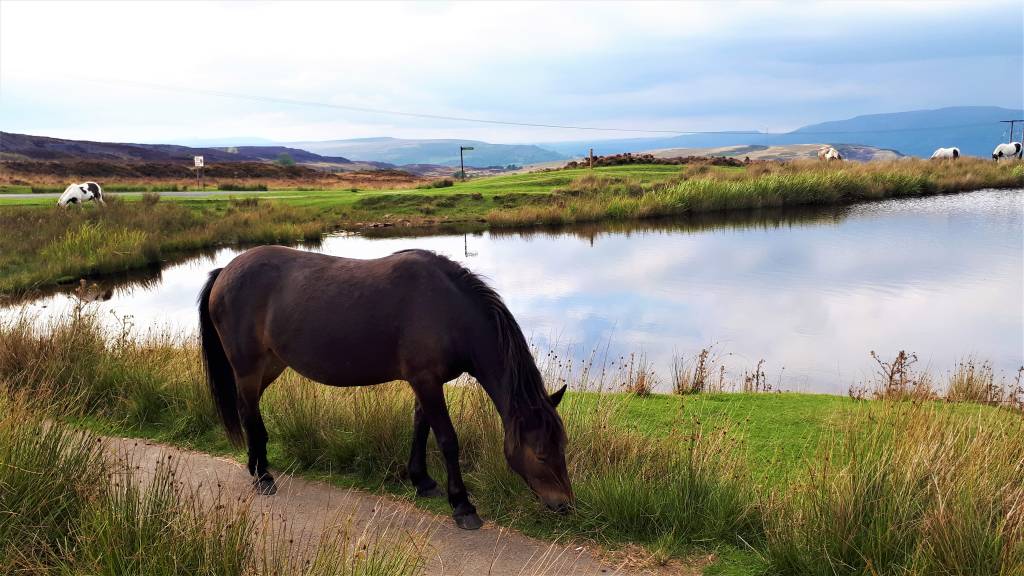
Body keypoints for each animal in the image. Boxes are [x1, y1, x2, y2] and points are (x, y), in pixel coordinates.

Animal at [195, 243, 573, 528]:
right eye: (541, 453)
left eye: (563, 446)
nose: (565, 505)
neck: (449, 310)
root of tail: (225, 271)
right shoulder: (426, 380)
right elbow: (447, 439)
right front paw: (462, 505)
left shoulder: (425, 382)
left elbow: (420, 428)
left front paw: (423, 482)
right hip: (248, 367)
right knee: (249, 414)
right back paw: (263, 477)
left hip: (270, 365)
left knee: (248, 411)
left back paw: (255, 467)